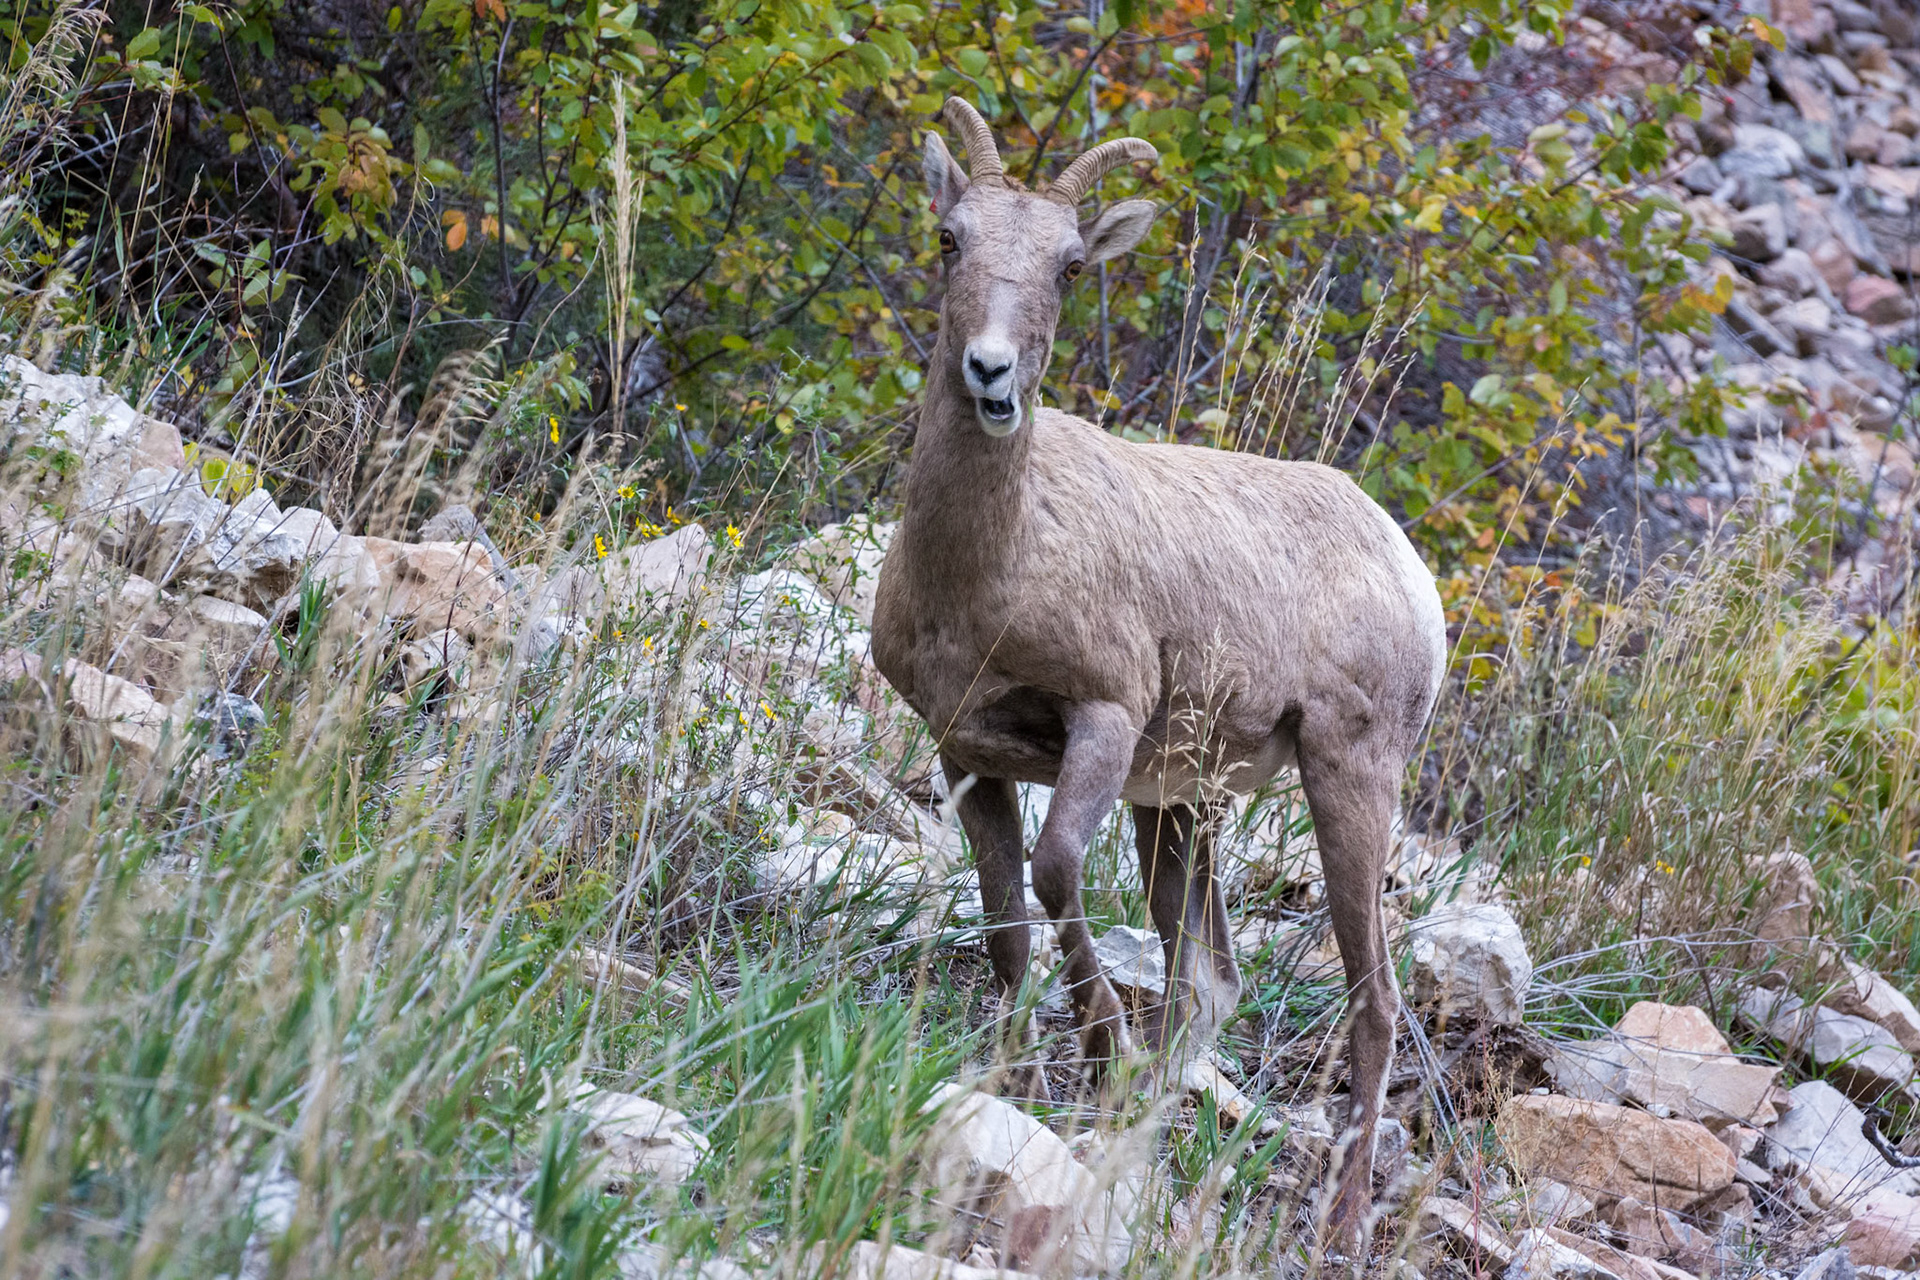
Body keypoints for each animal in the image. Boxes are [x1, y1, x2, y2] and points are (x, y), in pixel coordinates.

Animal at [870, 98, 1447, 1245]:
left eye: (1069, 265)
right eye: (949, 239)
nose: (991, 374)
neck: (983, 570)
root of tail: (1409, 569)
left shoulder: (1103, 721)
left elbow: (1053, 871)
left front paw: (1100, 1054)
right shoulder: (967, 755)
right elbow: (1006, 922)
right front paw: (1011, 1080)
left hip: (1347, 780)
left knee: (1373, 1001)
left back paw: (1342, 1222)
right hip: (1182, 806)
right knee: (1212, 983)